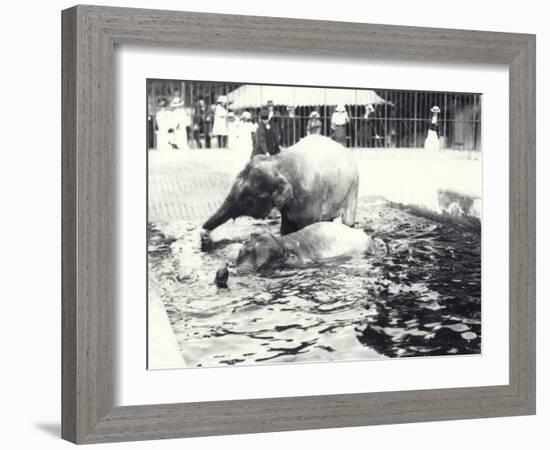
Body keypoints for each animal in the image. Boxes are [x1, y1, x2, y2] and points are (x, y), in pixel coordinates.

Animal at [201, 134, 360, 246]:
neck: (279, 162)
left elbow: (307, 226)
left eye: (249, 200)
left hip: (353, 186)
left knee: (347, 220)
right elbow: (286, 229)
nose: (204, 235)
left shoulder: (311, 197)